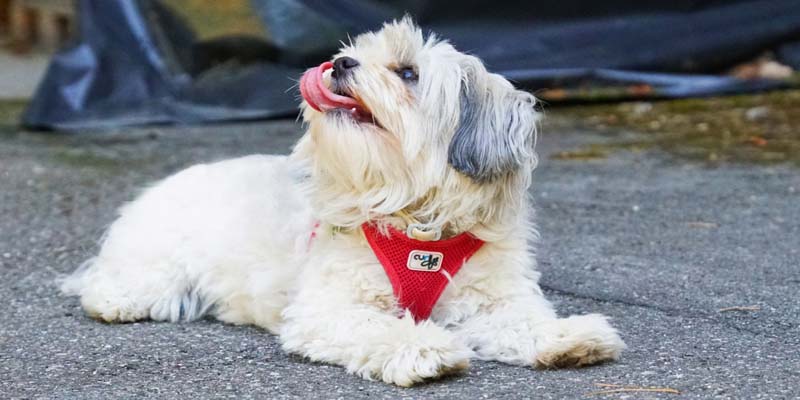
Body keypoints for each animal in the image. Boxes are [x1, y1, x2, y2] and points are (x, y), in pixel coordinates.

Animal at [61, 18, 624, 386]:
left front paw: (566, 336)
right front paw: (422, 347)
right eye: (353, 53)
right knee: (114, 289)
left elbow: (523, 322)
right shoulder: (330, 308)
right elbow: (379, 326)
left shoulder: (493, 299)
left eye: (407, 73)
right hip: (153, 272)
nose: (340, 62)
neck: (416, 220)